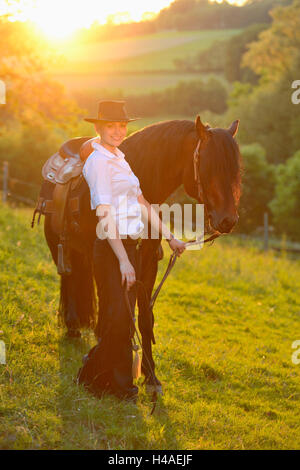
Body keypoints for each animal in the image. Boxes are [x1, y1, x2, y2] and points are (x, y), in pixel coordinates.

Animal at [41, 116, 241, 390]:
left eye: (235, 171)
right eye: (209, 166)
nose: (228, 221)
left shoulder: (148, 265)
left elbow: (146, 318)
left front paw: (150, 374)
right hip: (59, 247)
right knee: (69, 278)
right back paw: (73, 327)